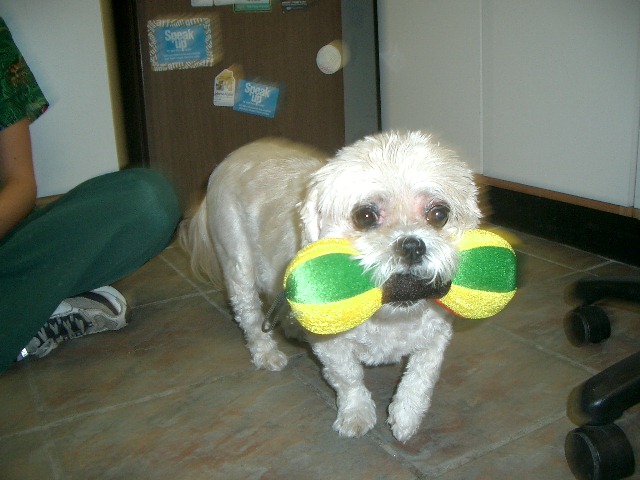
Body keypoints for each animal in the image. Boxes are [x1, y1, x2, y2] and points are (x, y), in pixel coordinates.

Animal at [180, 132, 480, 442]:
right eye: (365, 216)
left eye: (439, 214)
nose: (412, 245)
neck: (388, 314)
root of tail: (234, 156)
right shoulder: (332, 346)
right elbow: (348, 377)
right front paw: (357, 413)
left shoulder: (436, 333)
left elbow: (421, 376)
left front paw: (406, 416)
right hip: (238, 263)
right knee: (248, 314)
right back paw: (265, 352)